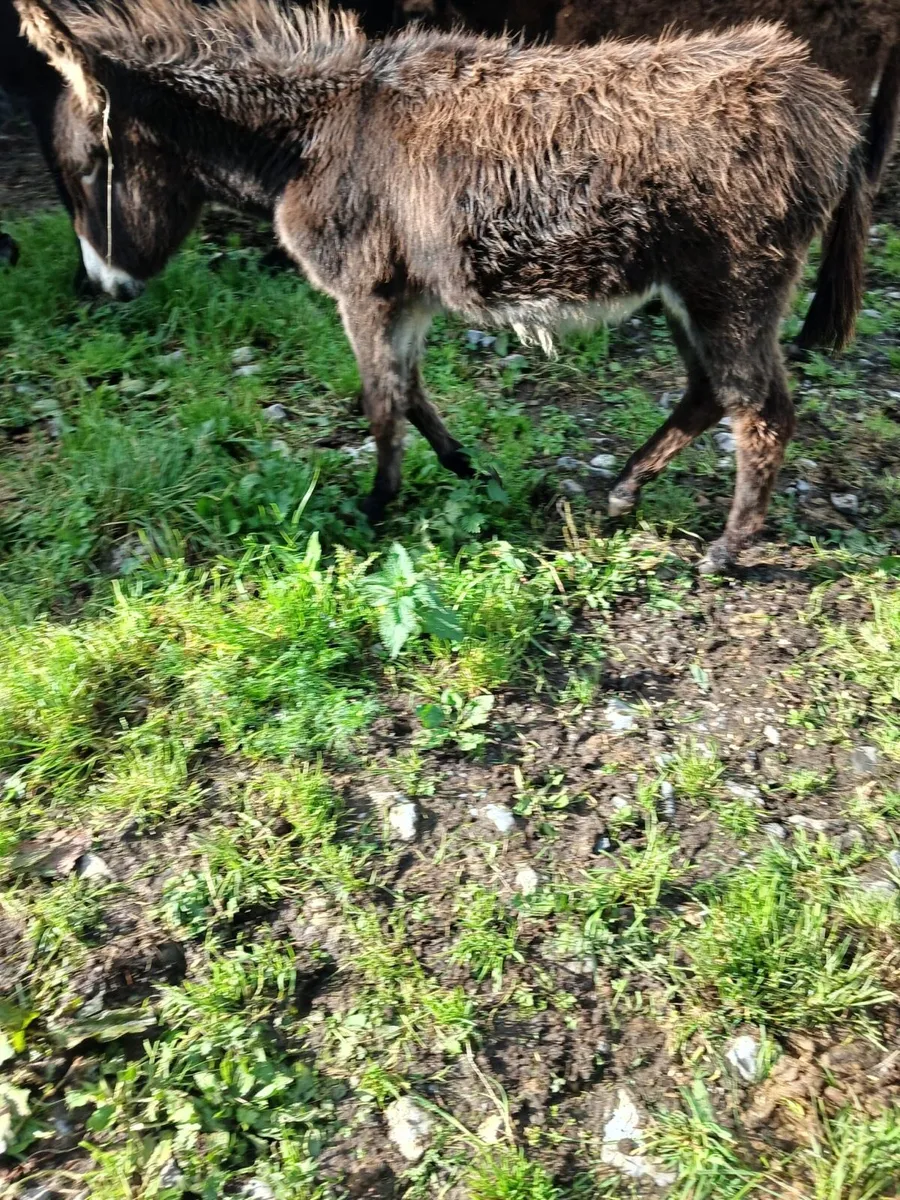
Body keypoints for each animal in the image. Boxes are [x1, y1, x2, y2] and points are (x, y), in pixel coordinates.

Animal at [16, 0, 865, 573]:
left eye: (89, 169)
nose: (104, 289)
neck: (311, 136)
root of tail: (824, 97)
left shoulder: (362, 293)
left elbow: (380, 404)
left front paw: (374, 507)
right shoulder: (407, 297)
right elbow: (412, 392)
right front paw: (464, 468)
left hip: (733, 289)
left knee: (761, 412)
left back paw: (727, 548)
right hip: (686, 296)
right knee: (706, 393)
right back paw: (626, 492)